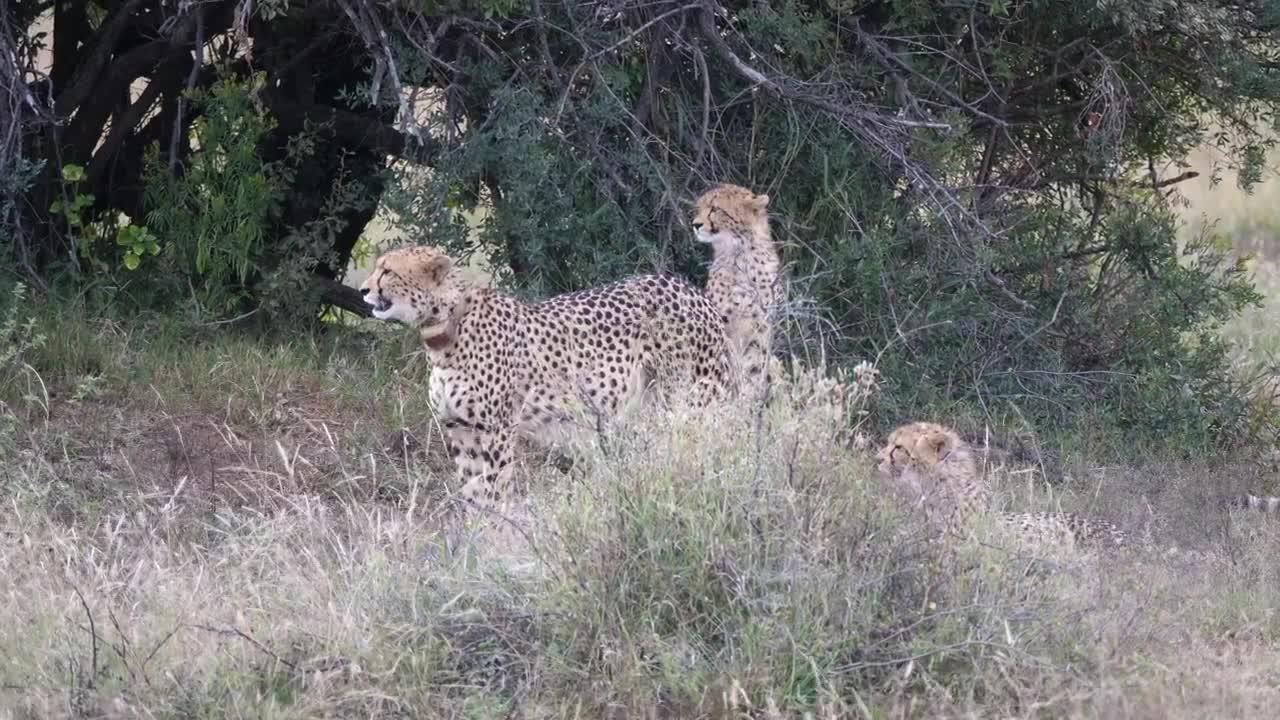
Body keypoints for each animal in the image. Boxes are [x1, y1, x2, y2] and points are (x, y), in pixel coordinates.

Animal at [363, 243, 732, 512]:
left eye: (388, 270)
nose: (365, 290)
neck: (445, 330)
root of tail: (687, 286)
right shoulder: (461, 429)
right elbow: (471, 490)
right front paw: (473, 534)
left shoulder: (496, 429)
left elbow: (493, 486)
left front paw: (495, 531)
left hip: (690, 397)